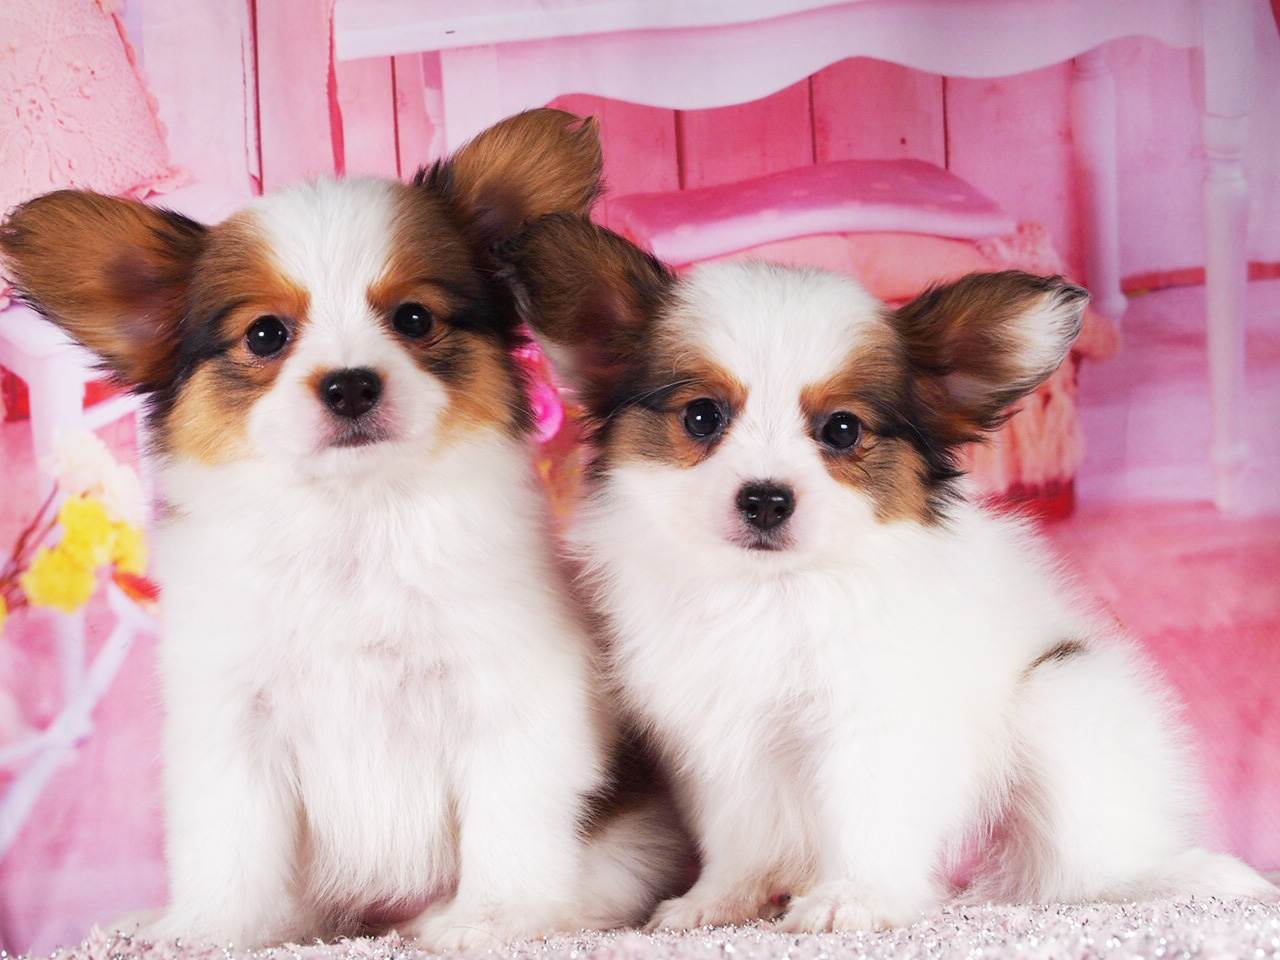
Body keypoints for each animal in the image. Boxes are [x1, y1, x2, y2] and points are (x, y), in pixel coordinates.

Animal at [0, 110, 681, 949]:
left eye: (414, 319)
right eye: (266, 335)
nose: (351, 384)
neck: (352, 525)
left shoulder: (512, 696)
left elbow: (509, 822)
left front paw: (492, 917)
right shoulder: (232, 719)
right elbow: (227, 841)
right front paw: (207, 928)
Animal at [496, 214, 1279, 933]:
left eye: (842, 430)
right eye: (701, 416)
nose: (766, 498)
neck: (775, 590)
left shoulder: (879, 716)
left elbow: (868, 815)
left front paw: (854, 899)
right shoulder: (719, 733)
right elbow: (738, 834)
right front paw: (717, 902)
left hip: (1060, 700)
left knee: (1083, 863)